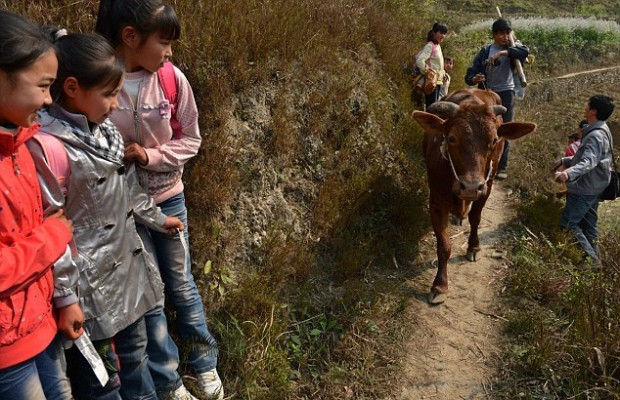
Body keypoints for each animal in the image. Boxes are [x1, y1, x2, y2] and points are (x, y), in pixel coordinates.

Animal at [412, 89, 536, 304]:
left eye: (494, 140)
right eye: (451, 138)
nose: (470, 187)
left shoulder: (486, 188)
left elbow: (475, 219)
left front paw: (474, 247)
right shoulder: (435, 202)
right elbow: (444, 246)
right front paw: (440, 285)